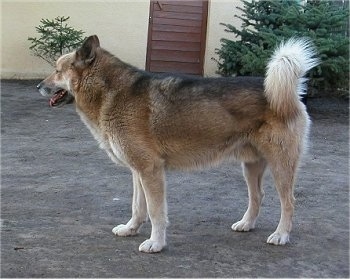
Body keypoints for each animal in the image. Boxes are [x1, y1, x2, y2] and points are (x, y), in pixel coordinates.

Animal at [37, 35, 318, 254]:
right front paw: (130, 229)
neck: (111, 92)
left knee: (289, 202)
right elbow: (137, 207)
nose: (38, 85)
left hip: (281, 168)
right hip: (250, 167)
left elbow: (155, 212)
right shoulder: (138, 172)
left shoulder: (151, 172)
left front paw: (156, 243)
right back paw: (246, 224)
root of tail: (290, 94)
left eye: (58, 70)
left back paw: (281, 235)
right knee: (257, 196)